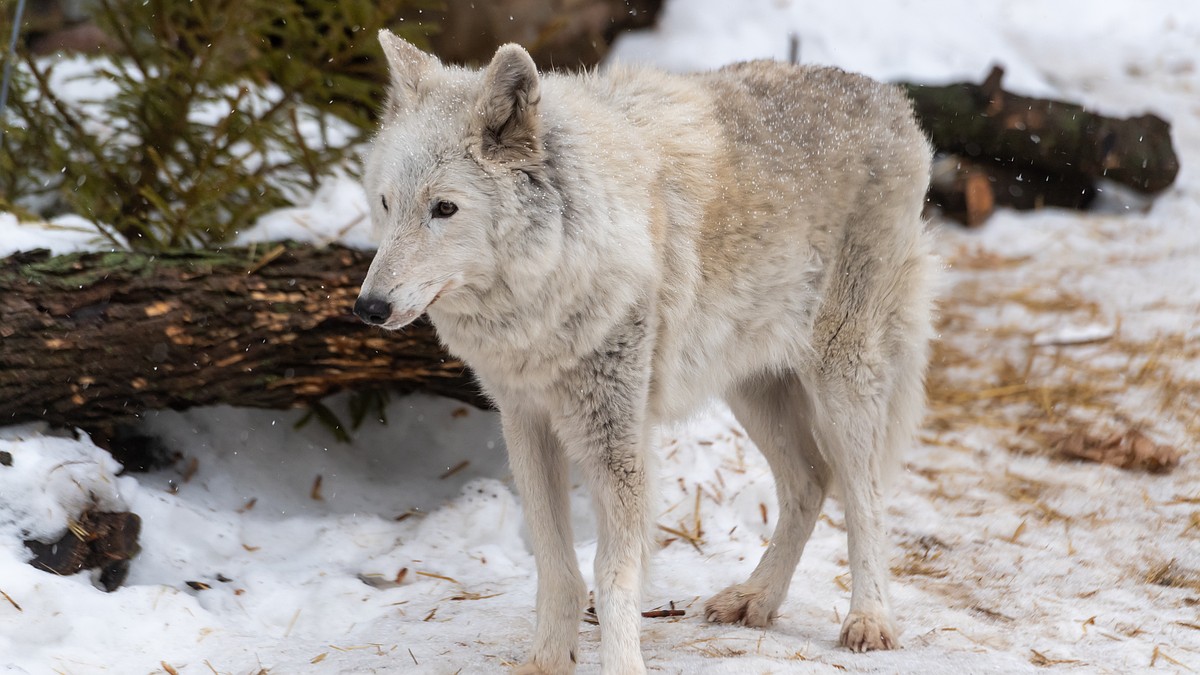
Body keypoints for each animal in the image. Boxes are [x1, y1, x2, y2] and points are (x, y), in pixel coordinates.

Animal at [355, 30, 936, 672]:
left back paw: (870, 620)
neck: (550, 287)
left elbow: (613, 576)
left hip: (841, 377)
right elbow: (556, 567)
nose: (369, 307)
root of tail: (892, 99)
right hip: (751, 387)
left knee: (866, 497)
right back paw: (756, 599)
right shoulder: (524, 421)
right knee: (810, 483)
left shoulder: (617, 442)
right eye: (386, 203)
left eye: (445, 209)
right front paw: (547, 662)